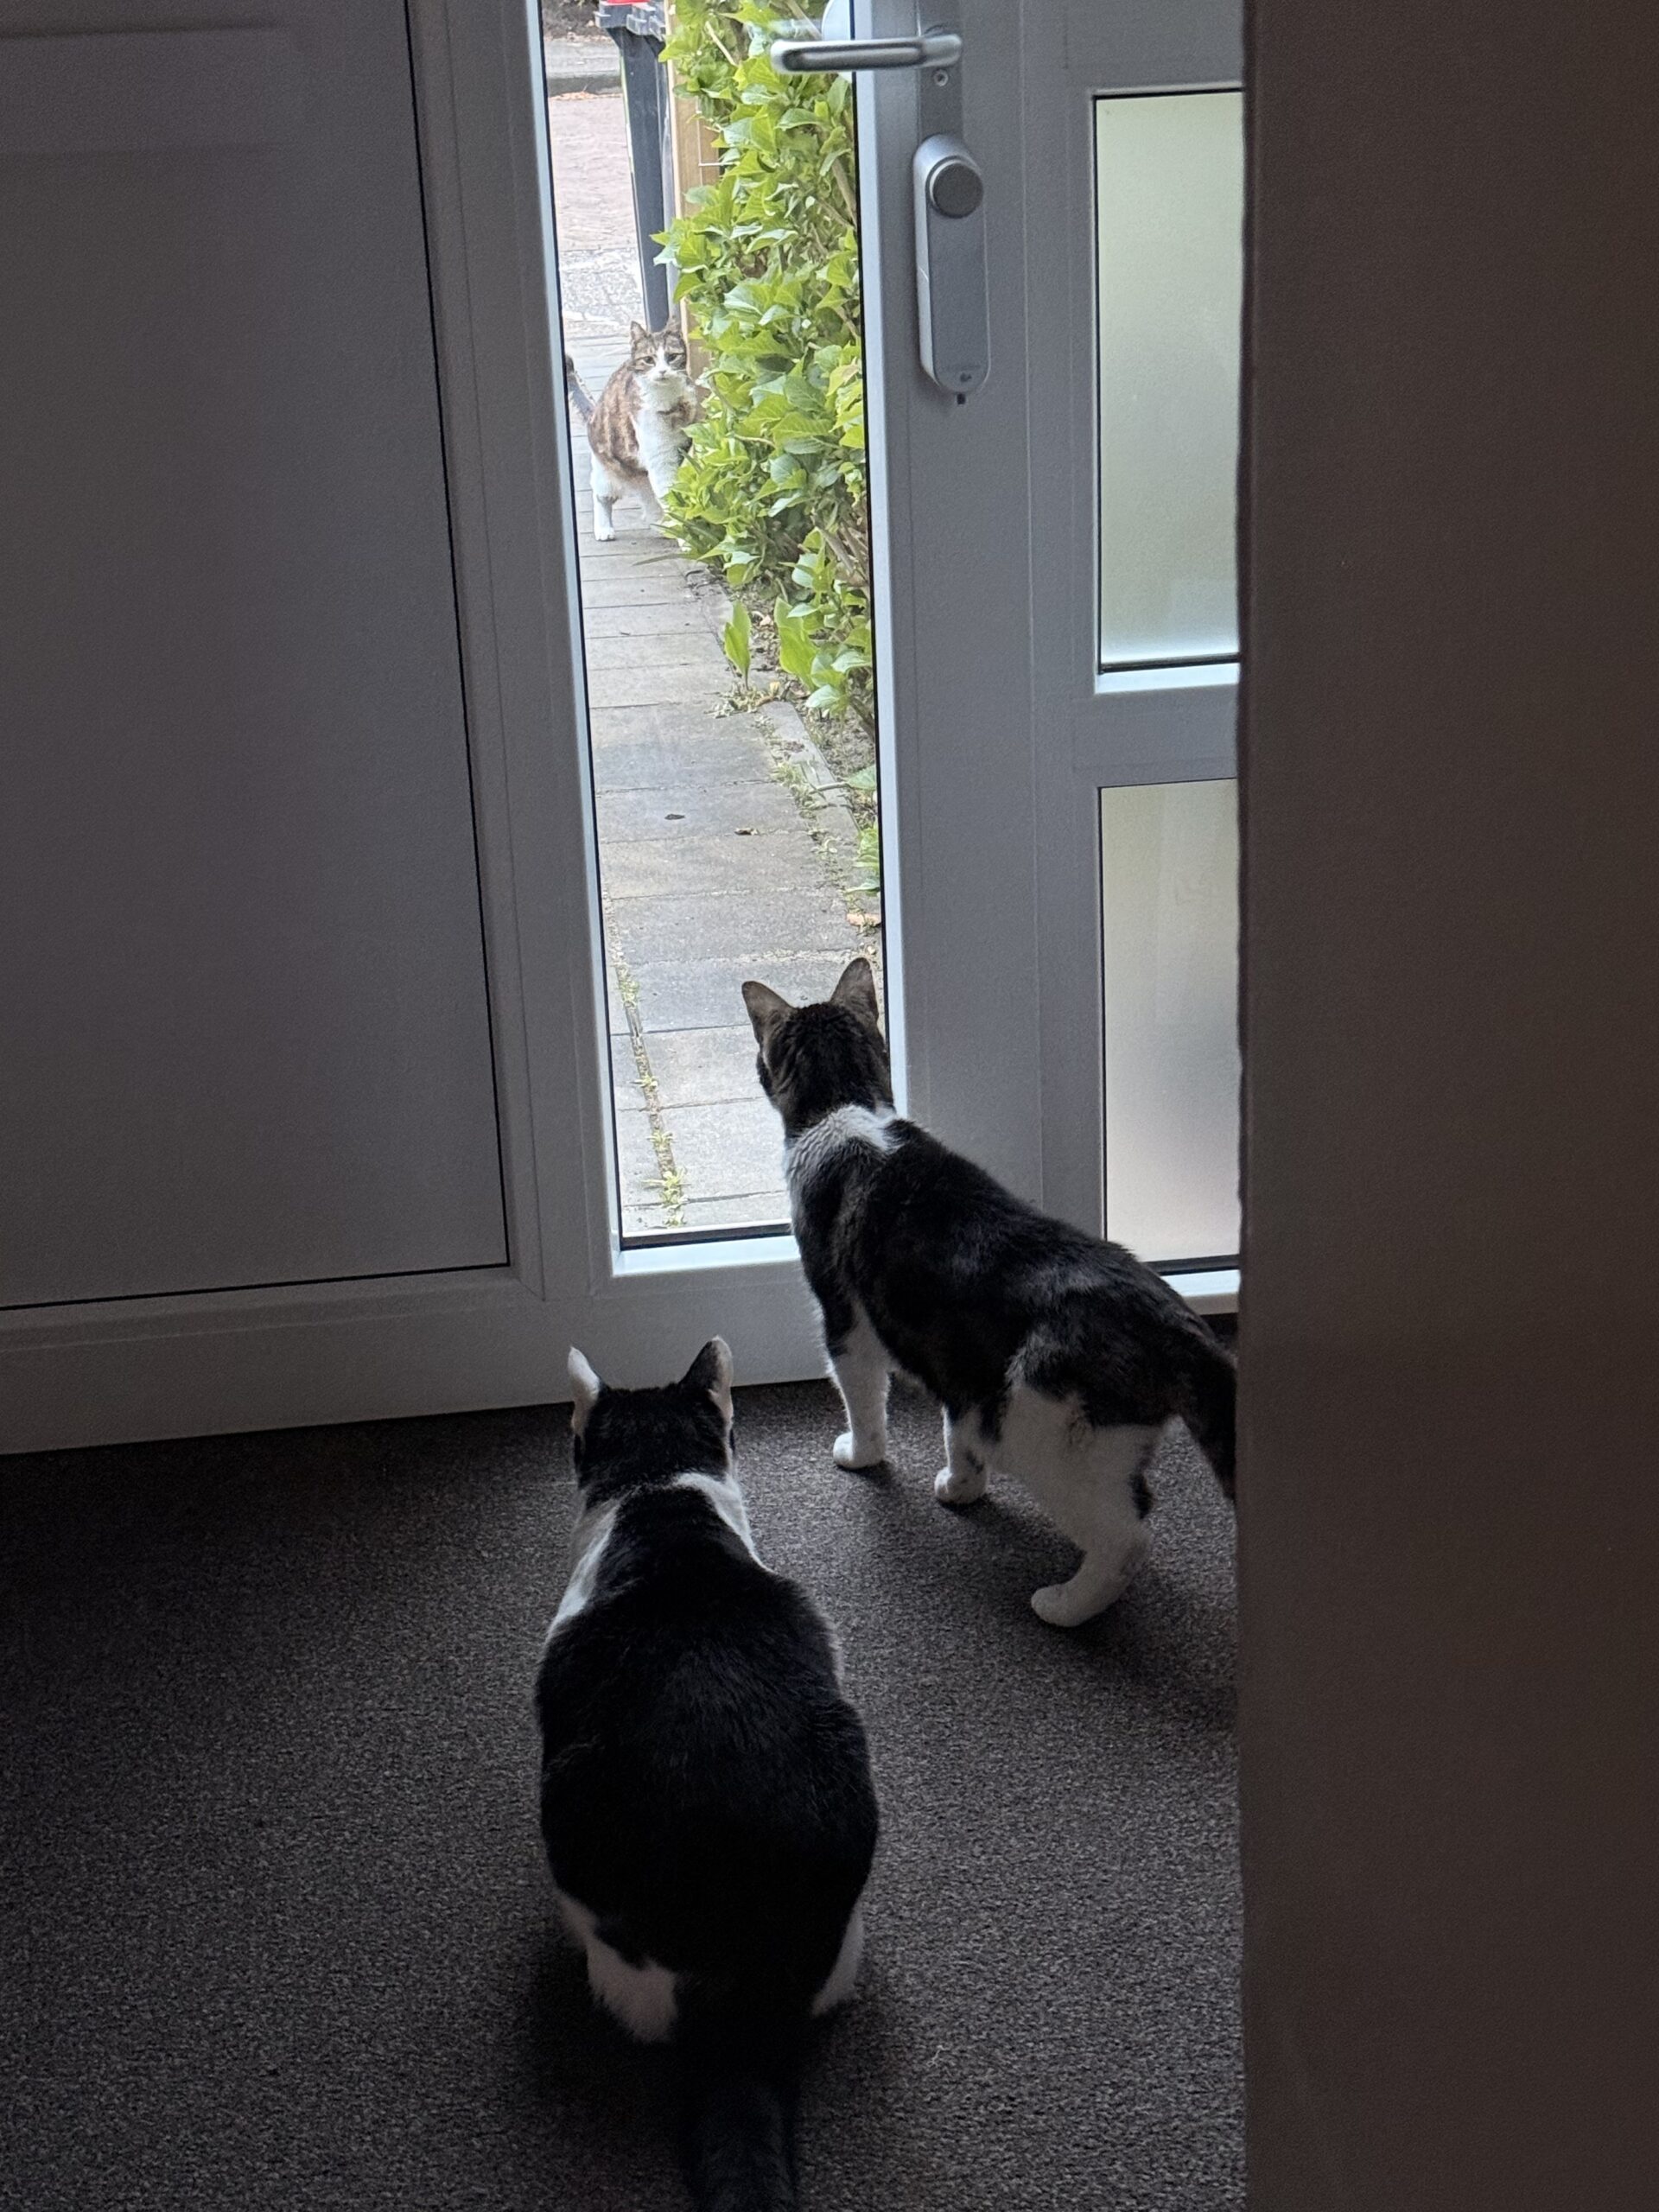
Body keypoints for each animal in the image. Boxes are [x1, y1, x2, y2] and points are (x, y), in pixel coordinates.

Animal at [567, 321, 697, 541]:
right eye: (649, 360)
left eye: (672, 356)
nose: (663, 371)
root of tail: (595, 413)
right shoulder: (660, 460)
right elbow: (672, 498)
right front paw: (687, 536)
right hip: (607, 475)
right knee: (600, 496)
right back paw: (604, 528)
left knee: (650, 506)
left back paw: (663, 525)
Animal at [741, 960, 1237, 1629]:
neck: (843, 1109)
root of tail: (1180, 1324)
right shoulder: (957, 1360)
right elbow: (957, 1429)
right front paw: (961, 1488)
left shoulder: (846, 1320)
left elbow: (862, 1397)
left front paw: (860, 1453)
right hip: (1090, 1434)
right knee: (1138, 1500)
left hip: (1036, 1428)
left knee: (1126, 1538)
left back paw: (1064, 1606)